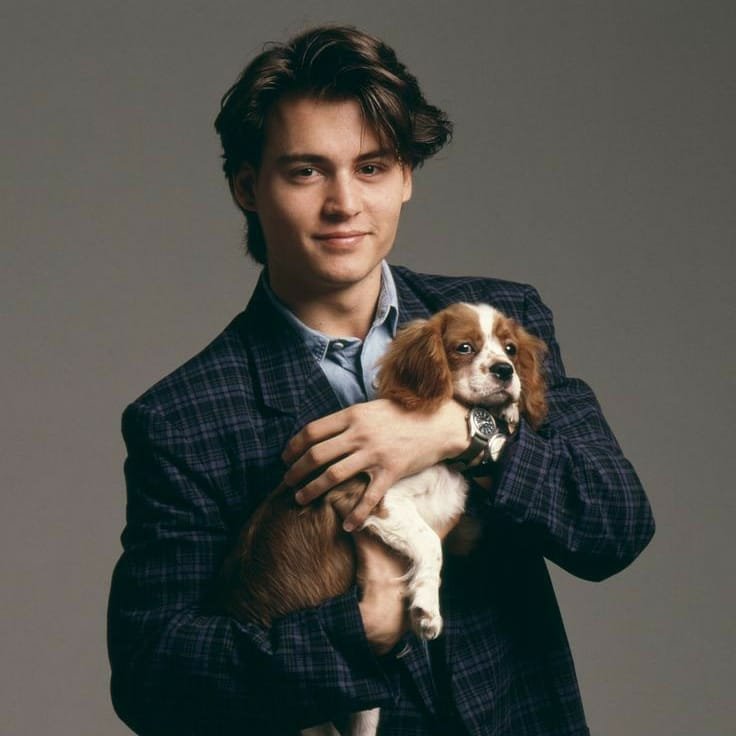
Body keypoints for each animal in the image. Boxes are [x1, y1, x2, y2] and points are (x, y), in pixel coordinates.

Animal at [218, 302, 548, 736]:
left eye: (510, 348)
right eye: (464, 347)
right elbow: (430, 544)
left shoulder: (455, 521)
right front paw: (426, 609)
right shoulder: (370, 497)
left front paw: (510, 408)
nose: (505, 371)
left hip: (366, 702)